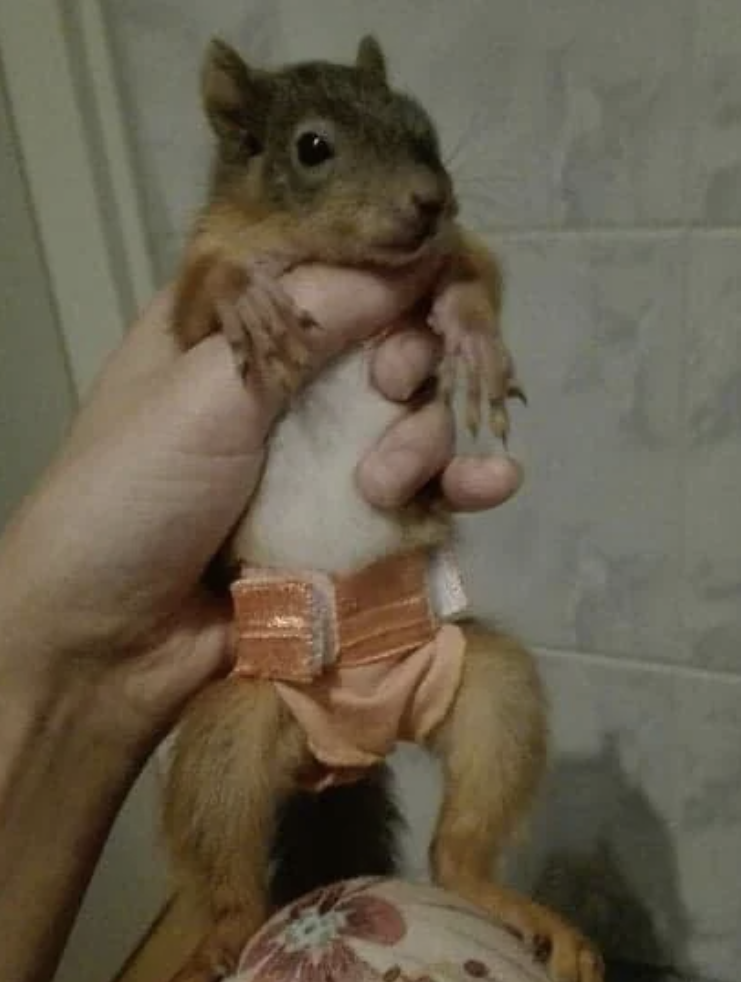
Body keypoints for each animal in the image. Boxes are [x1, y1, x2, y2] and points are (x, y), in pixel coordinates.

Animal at [162, 30, 600, 982]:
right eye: (310, 147)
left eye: (420, 125)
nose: (431, 200)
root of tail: (356, 744)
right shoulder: (183, 331)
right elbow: (204, 295)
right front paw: (248, 299)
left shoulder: (448, 256)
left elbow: (472, 270)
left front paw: (473, 343)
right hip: (231, 730)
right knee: (229, 871)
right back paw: (216, 941)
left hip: (486, 691)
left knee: (458, 848)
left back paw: (511, 907)